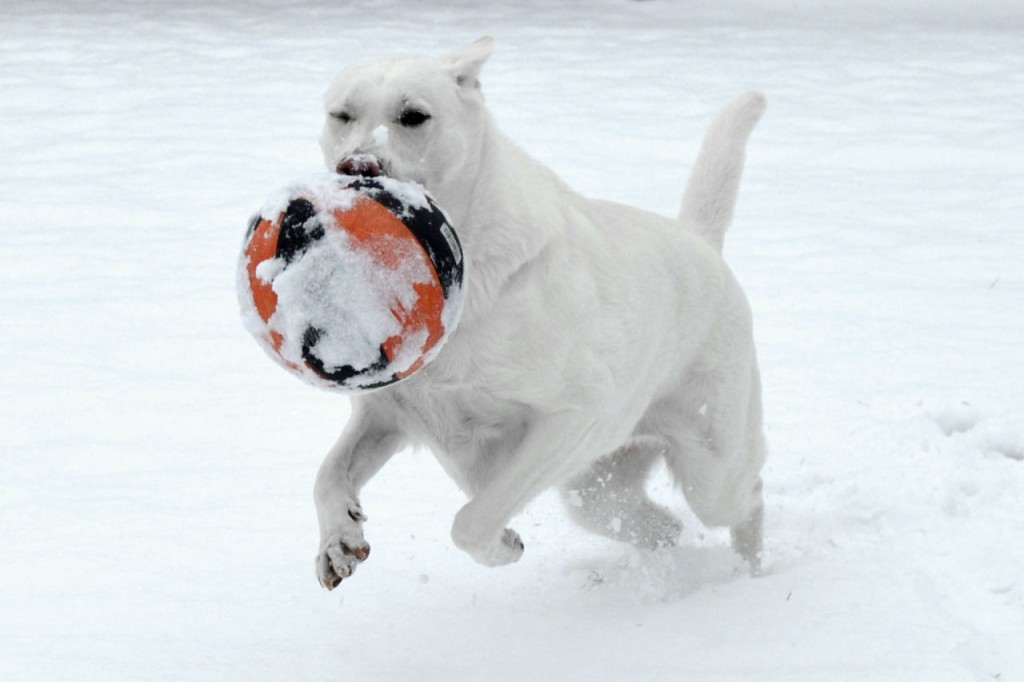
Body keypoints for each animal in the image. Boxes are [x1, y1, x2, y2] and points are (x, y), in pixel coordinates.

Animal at [311, 38, 770, 589]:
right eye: (341, 115)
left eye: (414, 116)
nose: (357, 166)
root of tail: (701, 241)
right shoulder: (387, 414)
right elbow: (327, 475)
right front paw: (340, 542)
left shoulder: (572, 415)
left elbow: (473, 521)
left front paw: (504, 546)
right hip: (595, 490)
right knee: (662, 527)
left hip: (709, 465)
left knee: (747, 499)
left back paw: (752, 574)